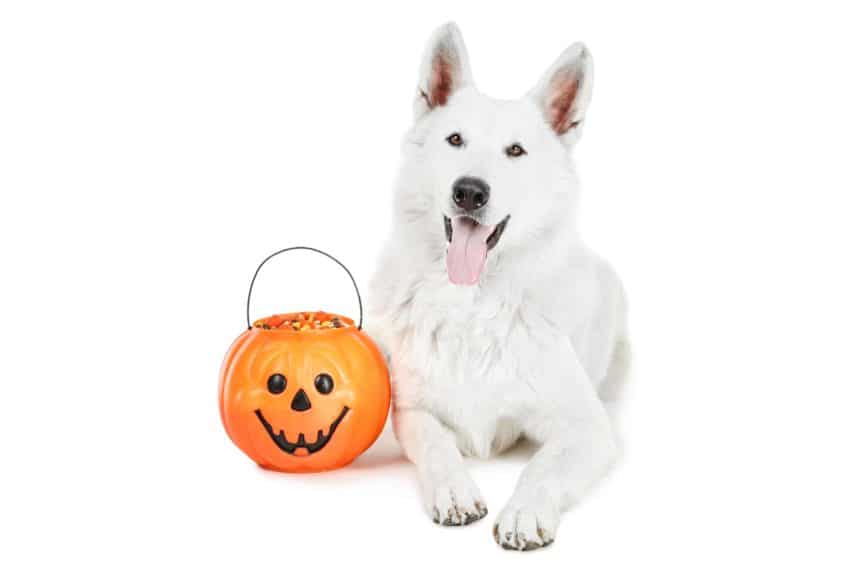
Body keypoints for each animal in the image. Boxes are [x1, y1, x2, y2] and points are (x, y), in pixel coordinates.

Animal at [366, 23, 628, 548]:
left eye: (515, 151)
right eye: (455, 139)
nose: (470, 191)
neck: (472, 304)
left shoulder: (587, 427)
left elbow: (543, 467)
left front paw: (525, 511)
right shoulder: (411, 412)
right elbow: (437, 443)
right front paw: (454, 490)